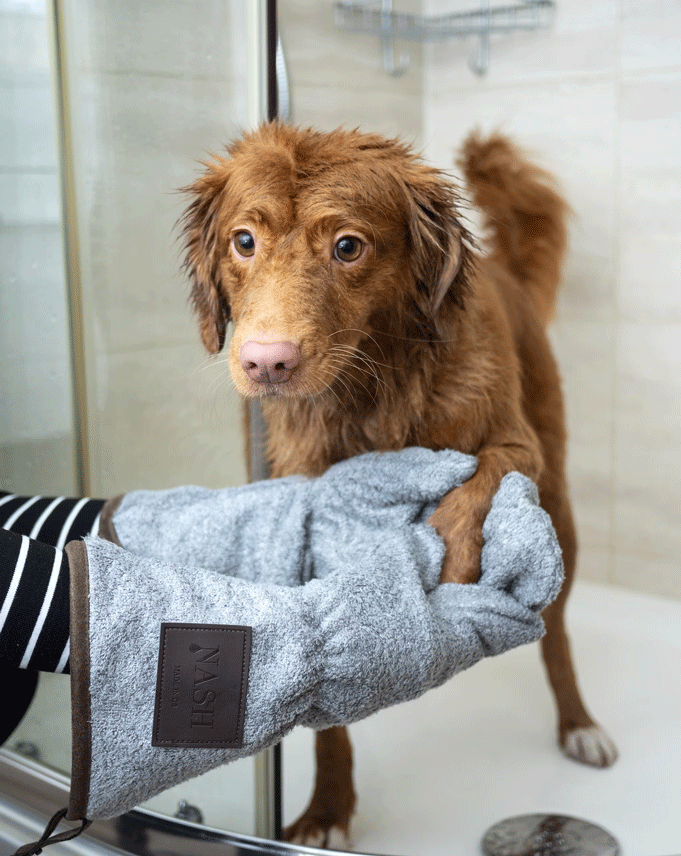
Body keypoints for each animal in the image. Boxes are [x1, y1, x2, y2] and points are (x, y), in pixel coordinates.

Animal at [181, 122, 616, 848]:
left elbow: (473, 486)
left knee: (556, 633)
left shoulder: (513, 445)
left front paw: (453, 555)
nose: (267, 362)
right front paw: (327, 809)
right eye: (244, 241)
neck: (369, 392)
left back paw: (579, 724)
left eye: (347, 246)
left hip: (557, 496)